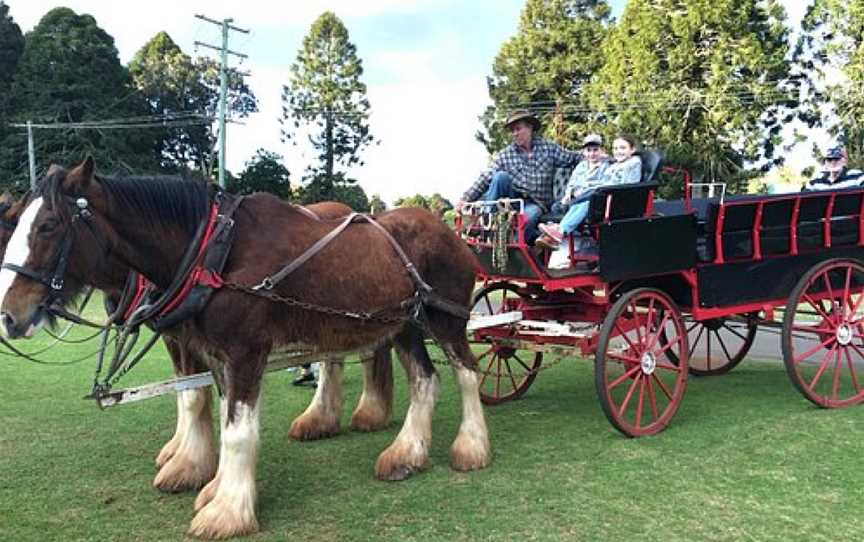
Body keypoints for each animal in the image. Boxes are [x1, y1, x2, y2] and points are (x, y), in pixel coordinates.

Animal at [0, 191, 396, 498]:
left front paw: (190, 462)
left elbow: (195, 396)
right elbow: (192, 394)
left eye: (46, 228)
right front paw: (184, 457)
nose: (9, 316)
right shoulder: (182, 337)